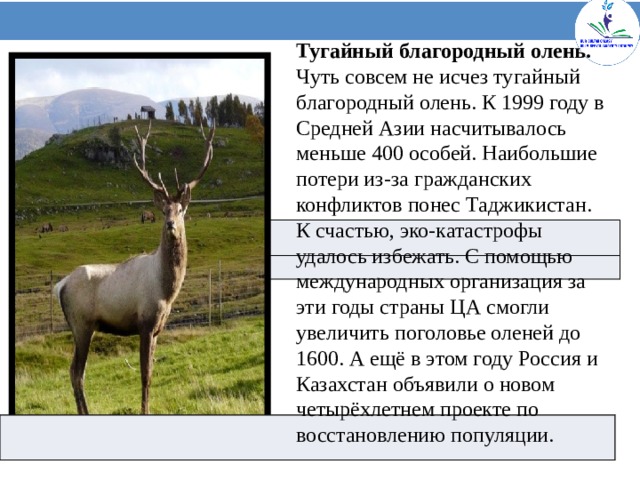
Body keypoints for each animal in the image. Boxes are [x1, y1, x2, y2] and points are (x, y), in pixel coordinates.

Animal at [54, 121, 215, 414]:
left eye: (181, 210)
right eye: (163, 211)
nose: (170, 225)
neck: (166, 291)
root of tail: (59, 285)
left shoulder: (158, 328)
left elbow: (150, 373)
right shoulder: (145, 322)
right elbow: (145, 374)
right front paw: (145, 410)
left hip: (80, 326)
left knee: (75, 371)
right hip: (82, 324)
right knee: (76, 372)